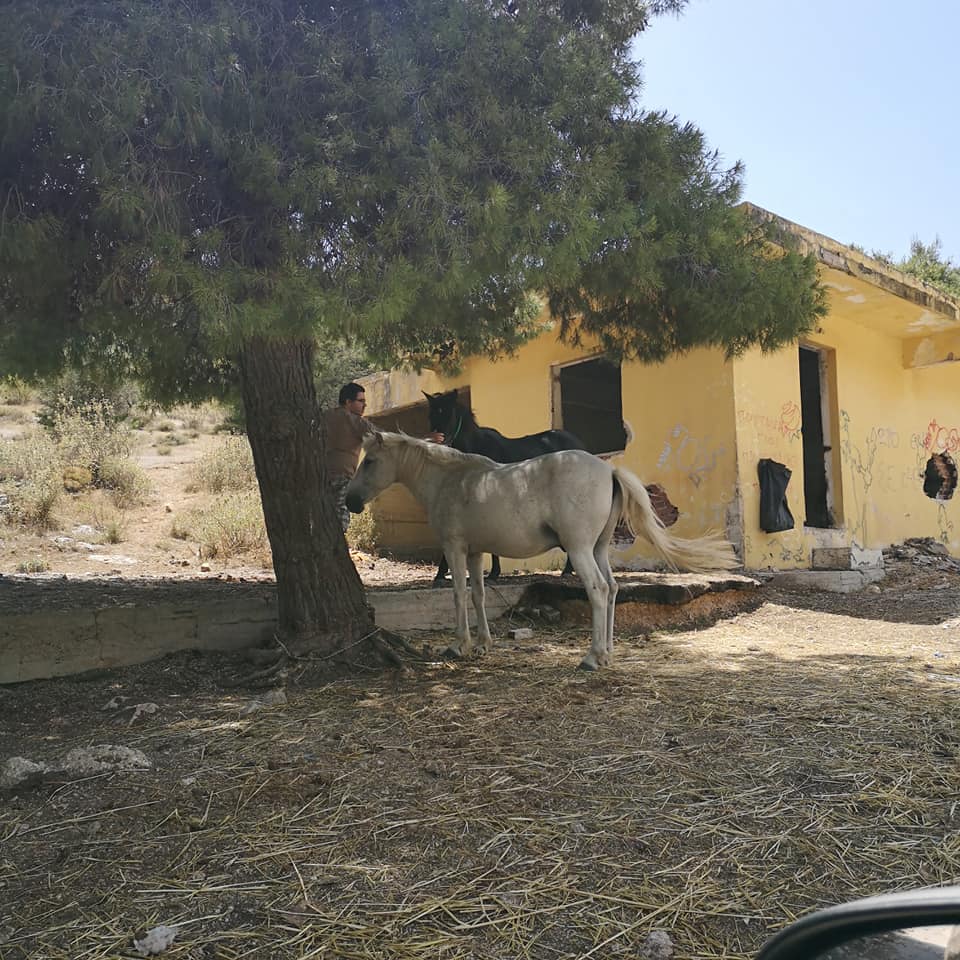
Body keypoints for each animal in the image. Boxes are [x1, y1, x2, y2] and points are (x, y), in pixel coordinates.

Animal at [345, 432, 738, 670]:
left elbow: (457, 594)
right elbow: (478, 594)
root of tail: (608, 469)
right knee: (612, 588)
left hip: (579, 550)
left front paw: (459, 645)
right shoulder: (474, 553)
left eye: (370, 461)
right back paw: (608, 652)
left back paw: (592, 657)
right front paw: (484, 644)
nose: (350, 501)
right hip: (598, 549)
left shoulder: (455, 549)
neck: (452, 479)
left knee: (597, 590)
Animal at [424, 389, 584, 583]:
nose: (438, 442)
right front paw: (441, 574)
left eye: (449, 413)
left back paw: (568, 570)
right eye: (431, 414)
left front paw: (494, 572)